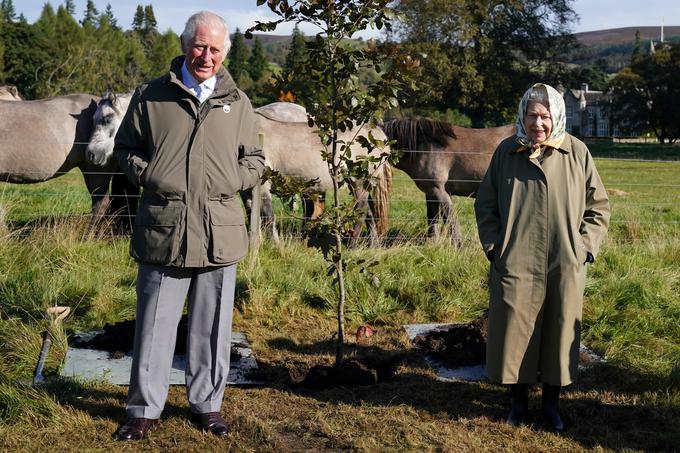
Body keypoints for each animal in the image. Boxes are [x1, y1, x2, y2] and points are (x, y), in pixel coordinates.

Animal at [382, 116, 516, 244]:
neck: (426, 147)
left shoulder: (439, 191)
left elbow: (451, 220)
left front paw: (458, 246)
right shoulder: (431, 193)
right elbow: (433, 219)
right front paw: (432, 244)